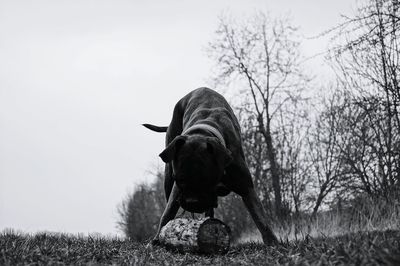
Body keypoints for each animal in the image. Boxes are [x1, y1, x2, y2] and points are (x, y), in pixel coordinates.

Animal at [144, 87, 278, 245]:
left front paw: (273, 242)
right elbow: (167, 213)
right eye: (180, 180)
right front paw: (157, 238)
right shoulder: (176, 188)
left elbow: (260, 218)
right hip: (168, 176)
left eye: (206, 180)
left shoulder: (247, 188)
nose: (192, 202)